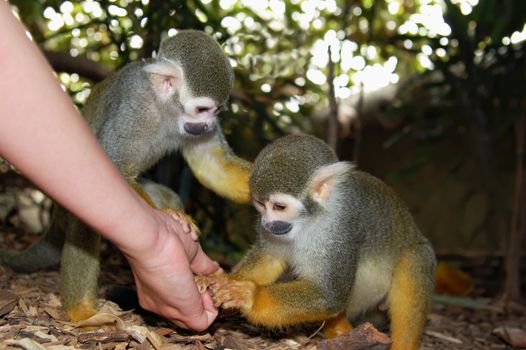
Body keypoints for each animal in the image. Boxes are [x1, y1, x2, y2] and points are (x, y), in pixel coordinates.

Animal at [0, 30, 252, 322]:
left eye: (217, 111)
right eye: (202, 109)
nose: (210, 125)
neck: (164, 107)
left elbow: (214, 165)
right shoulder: (134, 106)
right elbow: (112, 165)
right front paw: (169, 217)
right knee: (88, 218)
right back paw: (81, 312)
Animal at [198, 134, 438, 350]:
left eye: (279, 207)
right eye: (260, 204)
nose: (267, 223)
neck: (309, 219)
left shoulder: (337, 230)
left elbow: (329, 294)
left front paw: (250, 296)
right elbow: (270, 257)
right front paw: (220, 280)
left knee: (414, 261)